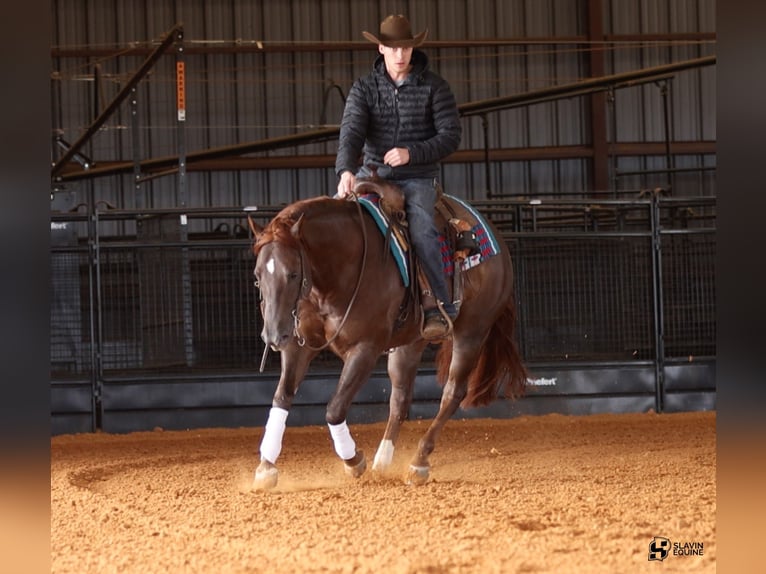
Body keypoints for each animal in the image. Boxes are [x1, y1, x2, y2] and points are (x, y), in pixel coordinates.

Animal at [247, 179, 527, 487]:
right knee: (400, 398)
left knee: (452, 392)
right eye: (258, 275)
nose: (273, 336)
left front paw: (353, 461)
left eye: (294, 274)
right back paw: (383, 460)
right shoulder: (300, 345)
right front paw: (266, 468)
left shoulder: (364, 349)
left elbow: (334, 408)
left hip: (472, 332)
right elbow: (281, 397)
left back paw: (418, 463)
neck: (339, 269)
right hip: (410, 343)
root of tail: (495, 238)